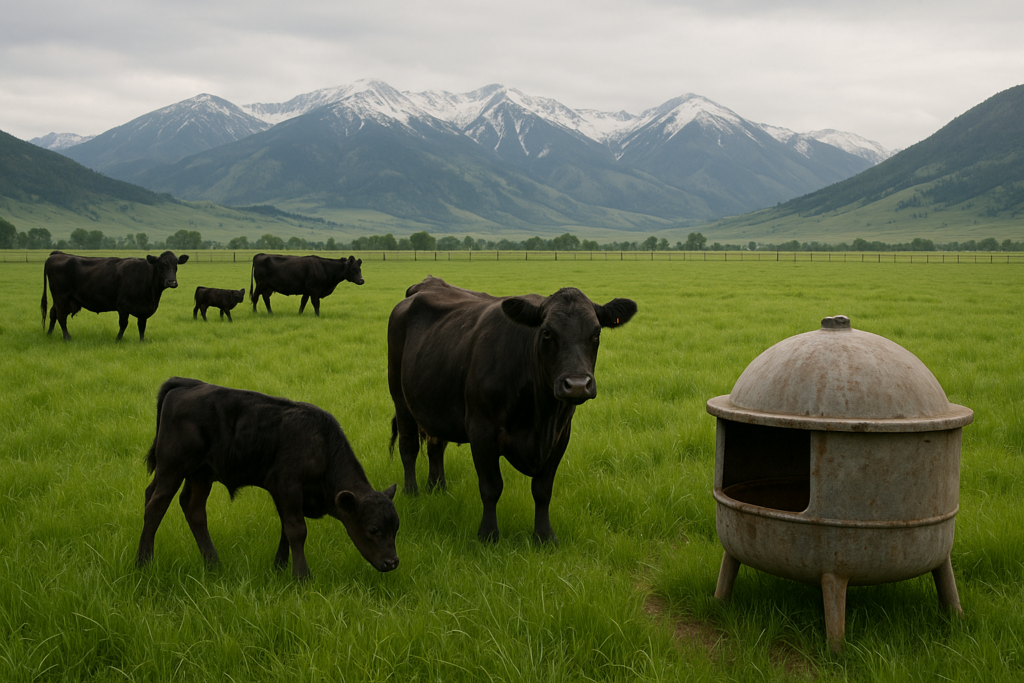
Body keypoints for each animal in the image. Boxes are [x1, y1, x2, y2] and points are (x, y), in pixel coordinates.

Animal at [41, 250, 189, 341]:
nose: (172, 282)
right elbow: (123, 324)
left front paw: (142, 341)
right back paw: (67, 337)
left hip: (60, 300)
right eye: (162, 265)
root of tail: (57, 254)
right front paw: (118, 339)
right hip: (61, 297)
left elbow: (142, 326)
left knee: (53, 313)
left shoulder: (143, 309)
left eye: (176, 265)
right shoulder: (122, 306)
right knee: (61, 316)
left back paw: (49, 334)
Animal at [136, 377, 400, 579]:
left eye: (396, 527)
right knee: (155, 506)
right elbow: (297, 530)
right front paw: (302, 576)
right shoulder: (288, 487)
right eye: (373, 529)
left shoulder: (291, 496)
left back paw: (213, 564)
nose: (393, 562)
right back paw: (143, 563)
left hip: (201, 473)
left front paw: (279, 567)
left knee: (193, 509)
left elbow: (286, 529)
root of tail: (187, 384)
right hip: (172, 468)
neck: (321, 445)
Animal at [387, 276, 636, 544]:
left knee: (436, 446)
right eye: (546, 332)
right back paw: (411, 492)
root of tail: (427, 284)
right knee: (409, 447)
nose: (577, 385)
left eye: (596, 333)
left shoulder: (560, 435)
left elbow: (543, 490)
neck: (540, 415)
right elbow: (491, 487)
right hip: (400, 398)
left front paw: (544, 536)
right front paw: (488, 535)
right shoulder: (481, 431)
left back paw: (437, 488)